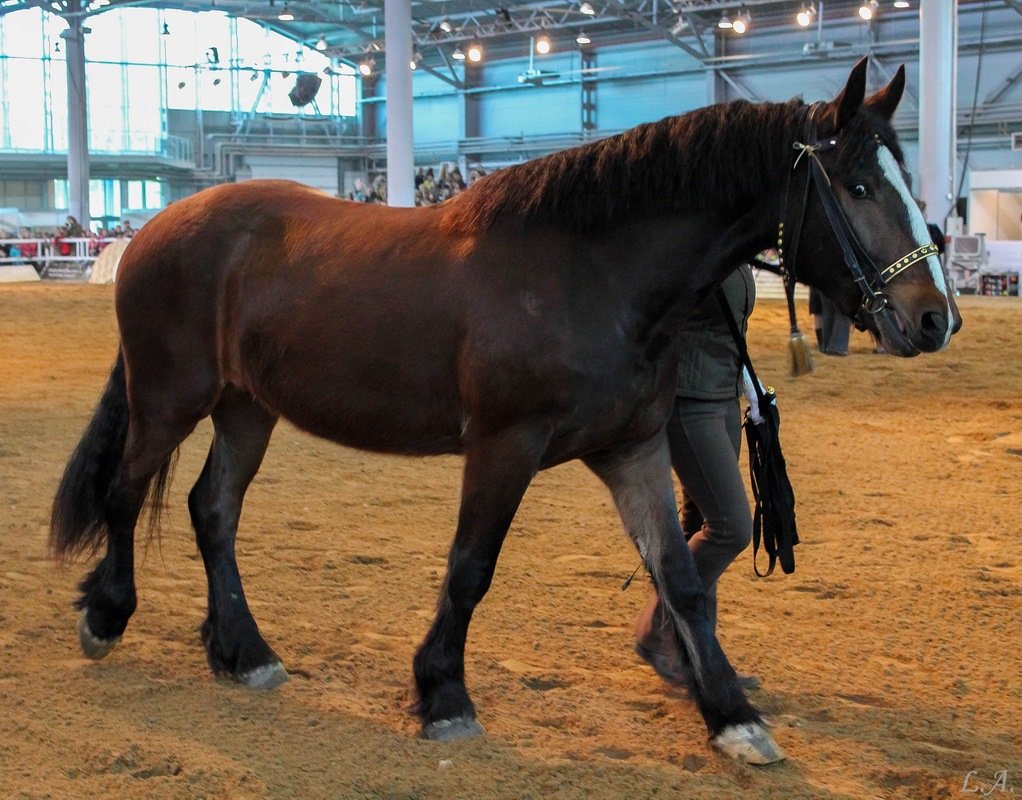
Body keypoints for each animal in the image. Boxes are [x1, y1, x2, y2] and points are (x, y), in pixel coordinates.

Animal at [48, 59, 956, 768]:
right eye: (860, 186)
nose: (934, 318)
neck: (591, 273)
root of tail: (156, 226)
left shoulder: (634, 450)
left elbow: (683, 579)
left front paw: (732, 717)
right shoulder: (503, 446)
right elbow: (470, 568)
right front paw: (444, 695)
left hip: (247, 409)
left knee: (213, 511)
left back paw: (245, 653)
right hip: (169, 395)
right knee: (126, 495)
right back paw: (106, 615)